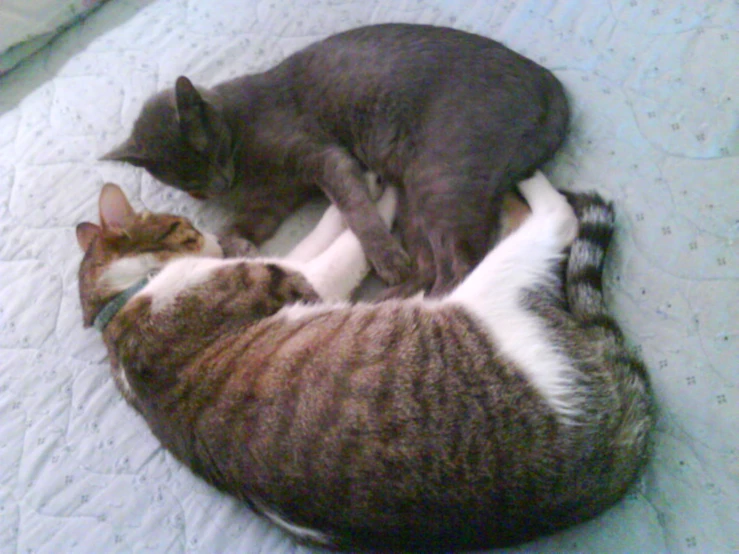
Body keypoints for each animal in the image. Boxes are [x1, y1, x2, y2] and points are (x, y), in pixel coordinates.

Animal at [75, 171, 652, 548]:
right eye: (186, 227)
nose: (219, 239)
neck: (119, 301)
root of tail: (609, 457)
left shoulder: (289, 266)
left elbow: (321, 232)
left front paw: (356, 191)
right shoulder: (297, 279)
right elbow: (348, 244)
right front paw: (382, 195)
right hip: (492, 297)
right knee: (556, 223)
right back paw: (531, 184)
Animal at [101, 23, 568, 298]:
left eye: (210, 153)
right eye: (186, 181)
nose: (219, 185)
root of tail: (552, 87)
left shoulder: (323, 157)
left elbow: (355, 208)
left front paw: (384, 257)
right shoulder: (270, 204)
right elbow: (231, 229)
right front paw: (242, 248)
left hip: (439, 176)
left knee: (461, 264)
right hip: (416, 194)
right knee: (430, 266)